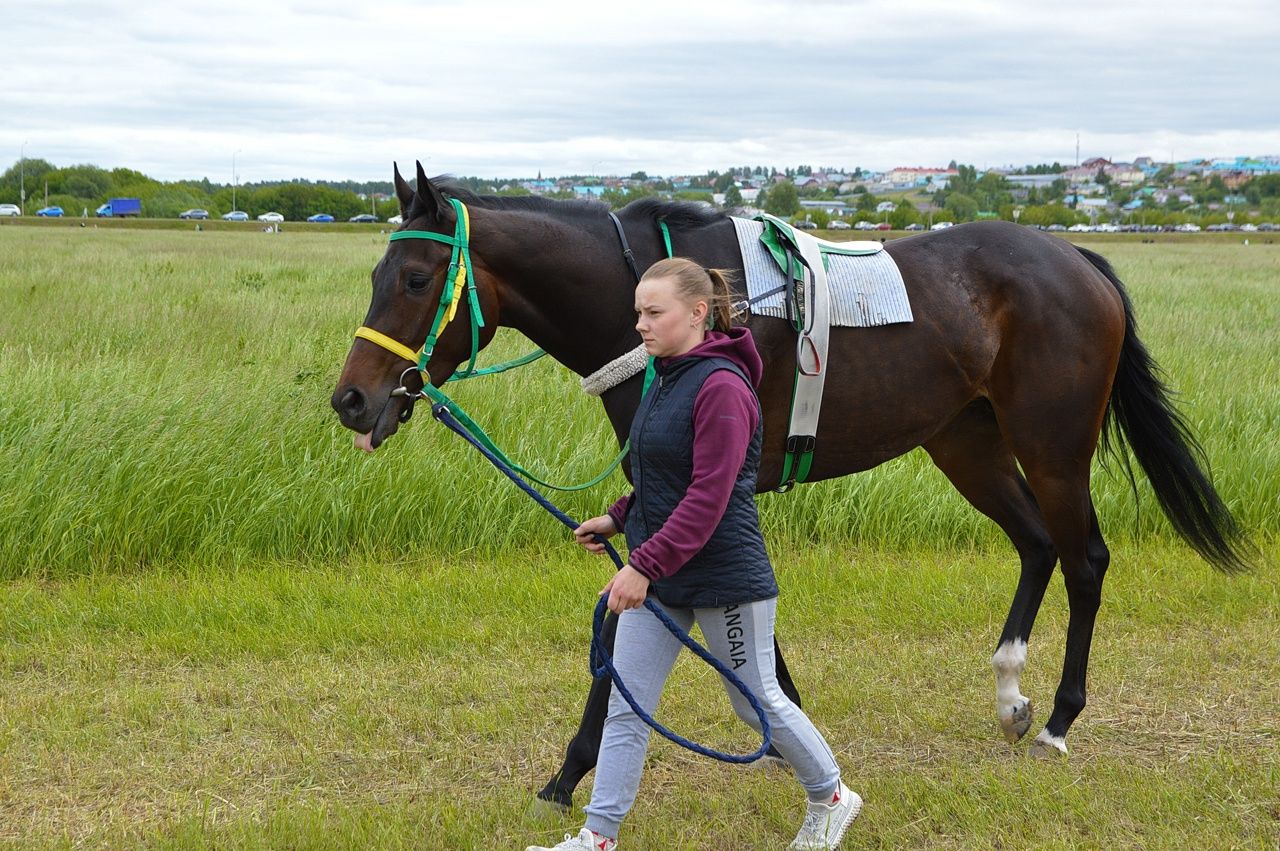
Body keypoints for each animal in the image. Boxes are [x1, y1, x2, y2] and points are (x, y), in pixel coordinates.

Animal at [330, 162, 1249, 808]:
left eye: (416, 280)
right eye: (375, 275)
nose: (352, 399)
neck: (665, 304)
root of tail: (1075, 257)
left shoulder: (695, 489)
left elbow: (632, 623)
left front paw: (569, 773)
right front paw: (780, 726)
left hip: (1052, 445)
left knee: (1084, 556)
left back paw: (1058, 717)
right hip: (965, 440)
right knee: (1034, 544)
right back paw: (1011, 691)